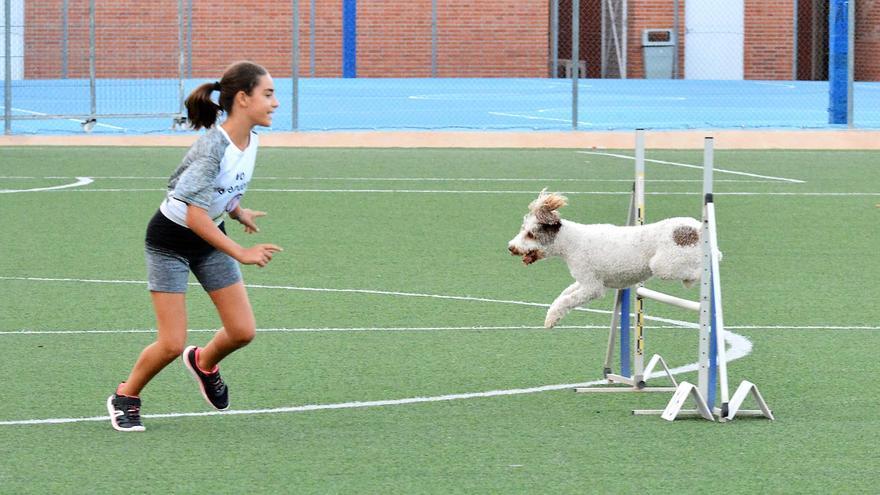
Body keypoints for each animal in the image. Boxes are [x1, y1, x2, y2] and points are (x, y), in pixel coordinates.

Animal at [508, 191, 700, 330]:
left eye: (530, 234)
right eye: (523, 230)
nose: (511, 247)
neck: (571, 241)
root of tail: (697, 228)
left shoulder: (593, 288)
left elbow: (566, 300)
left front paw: (551, 319)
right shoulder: (585, 281)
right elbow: (563, 295)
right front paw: (552, 316)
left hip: (664, 266)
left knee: (698, 270)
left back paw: (692, 280)